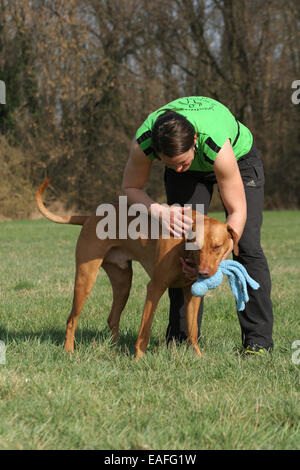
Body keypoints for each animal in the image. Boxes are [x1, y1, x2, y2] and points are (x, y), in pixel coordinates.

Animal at [36, 179, 238, 356]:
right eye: (196, 247)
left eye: (217, 247)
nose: (204, 273)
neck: (182, 243)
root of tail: (89, 217)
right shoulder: (155, 287)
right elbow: (144, 329)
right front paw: (139, 357)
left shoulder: (192, 293)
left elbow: (192, 330)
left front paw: (197, 356)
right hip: (86, 279)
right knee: (72, 319)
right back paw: (69, 351)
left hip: (123, 283)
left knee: (112, 318)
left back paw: (114, 349)